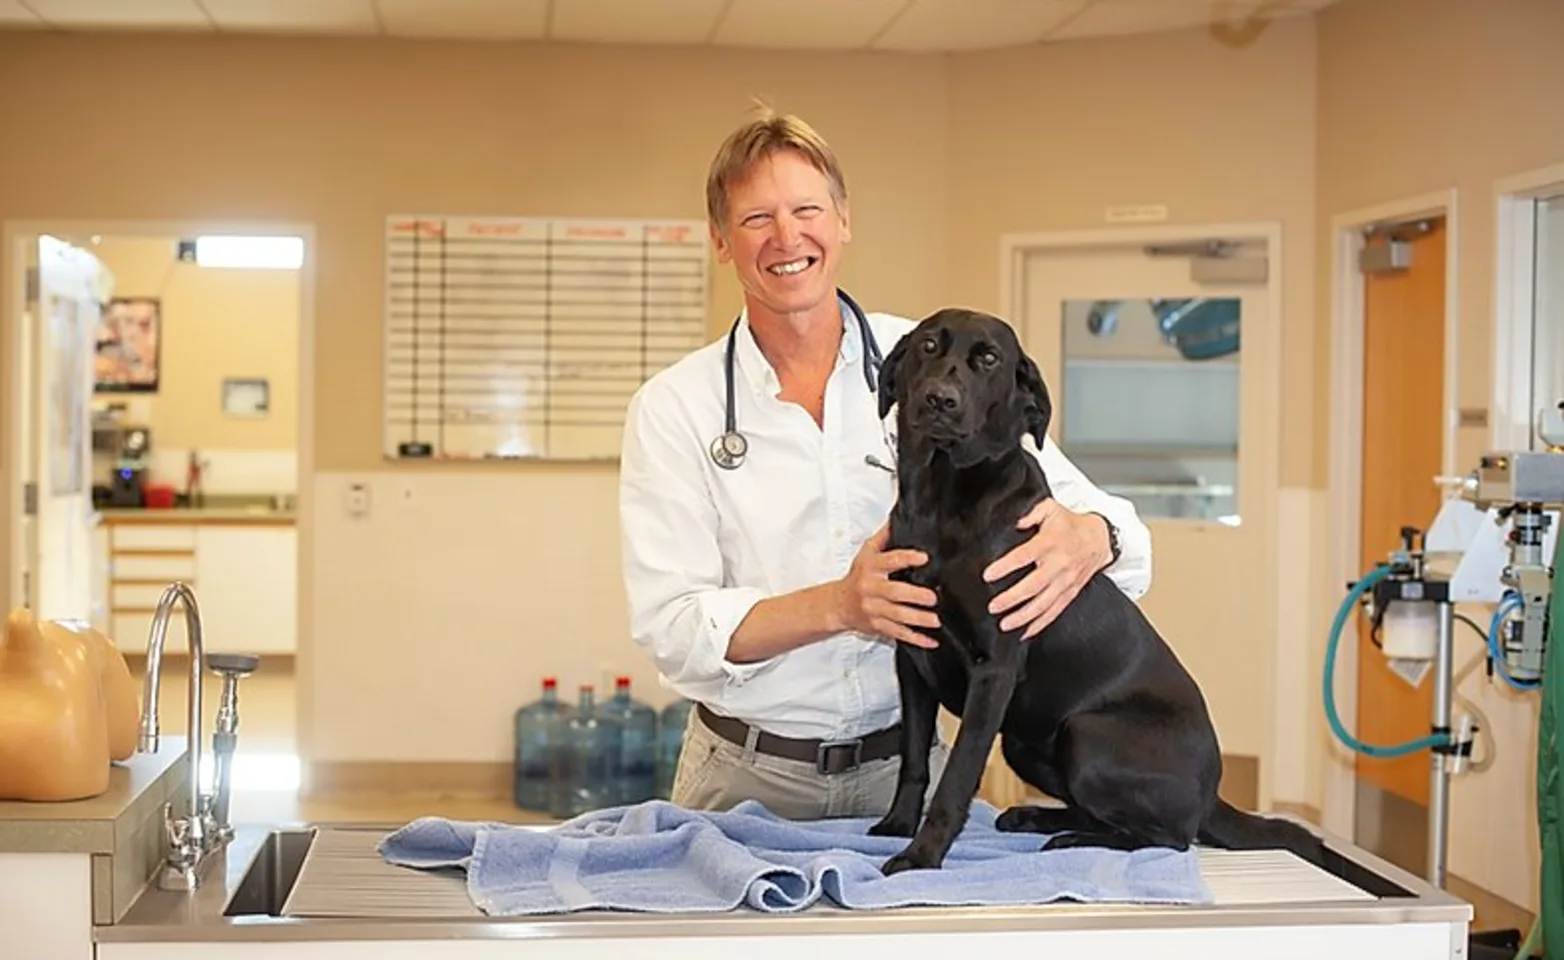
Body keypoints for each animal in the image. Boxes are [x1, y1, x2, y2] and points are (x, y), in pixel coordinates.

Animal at [863, 308, 1326, 881]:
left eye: (988, 359)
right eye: (928, 345)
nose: (940, 400)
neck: (943, 495)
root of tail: (1212, 794)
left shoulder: (994, 671)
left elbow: (957, 775)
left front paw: (922, 855)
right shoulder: (911, 655)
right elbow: (913, 761)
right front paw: (898, 825)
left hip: (1085, 735)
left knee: (1171, 838)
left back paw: (1071, 838)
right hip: (1026, 742)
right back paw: (1038, 818)